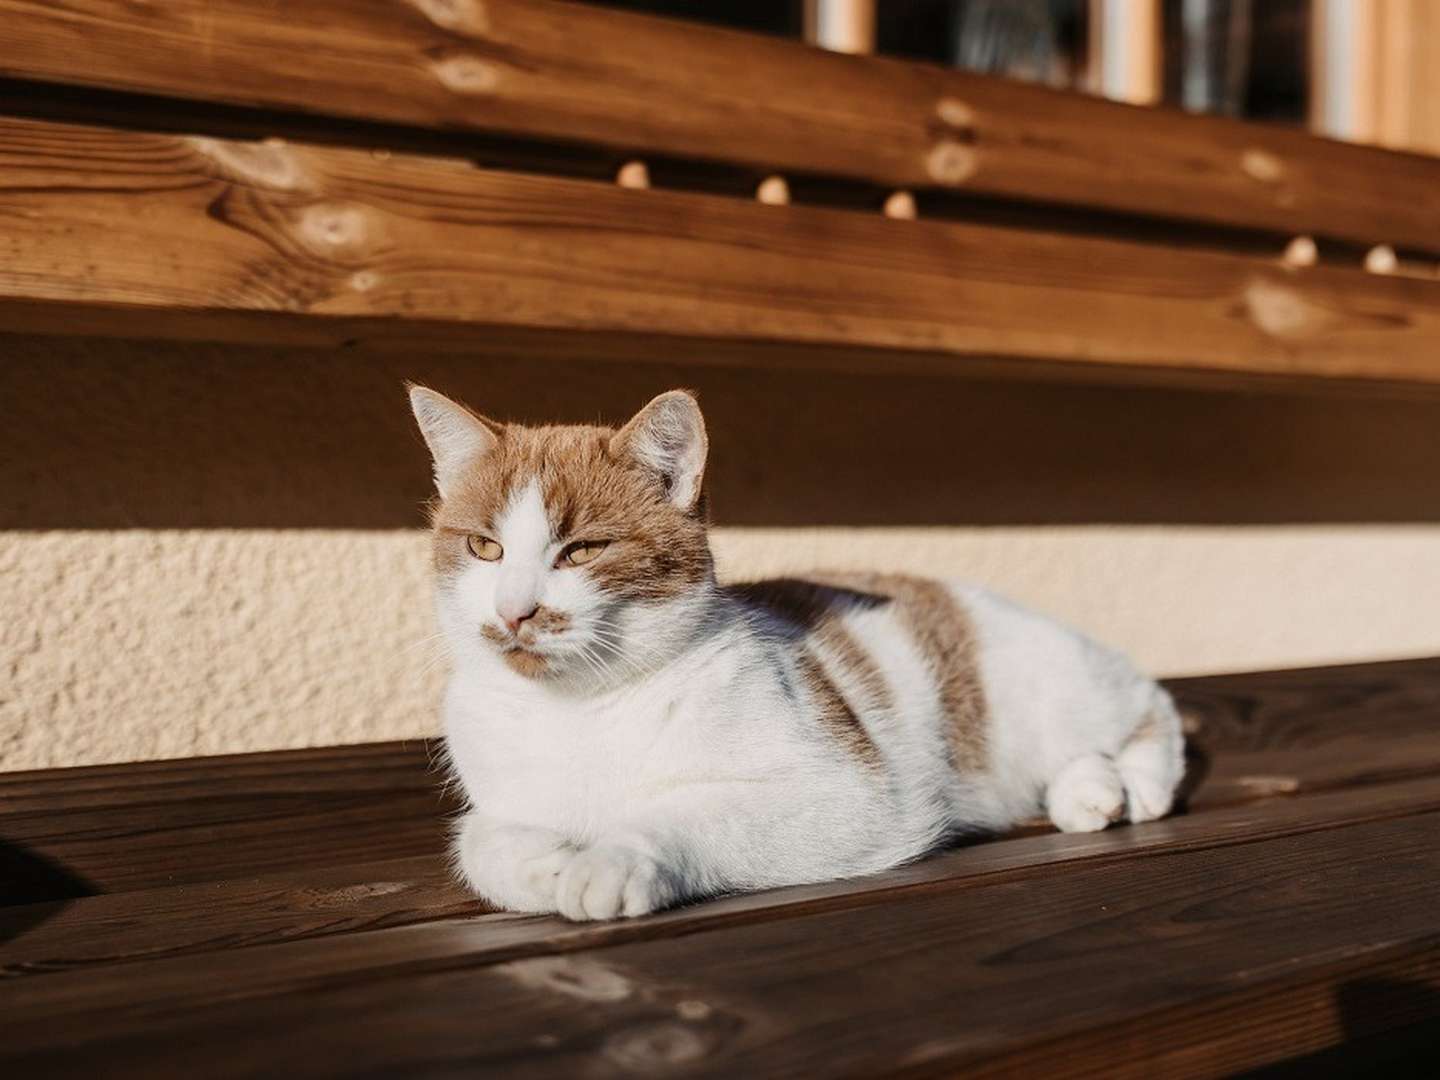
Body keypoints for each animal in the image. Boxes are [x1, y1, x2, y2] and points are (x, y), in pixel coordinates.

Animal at [411, 385, 1186, 921]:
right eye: (484, 546)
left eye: (582, 551)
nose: (514, 610)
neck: (579, 709)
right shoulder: (498, 796)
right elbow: (476, 842)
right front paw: (545, 862)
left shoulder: (847, 798)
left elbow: (682, 813)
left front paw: (612, 860)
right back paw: (1090, 789)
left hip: (1049, 689)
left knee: (1152, 703)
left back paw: (1131, 783)